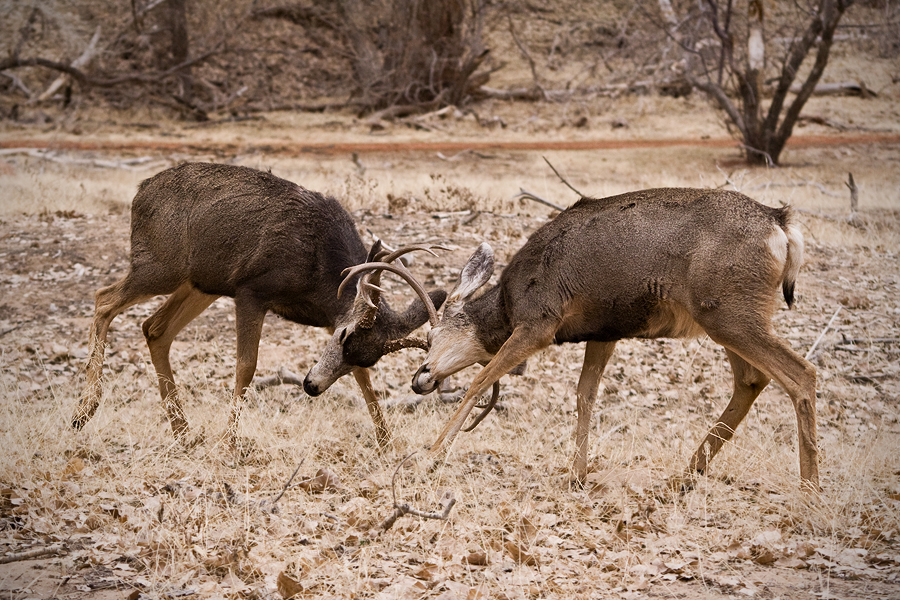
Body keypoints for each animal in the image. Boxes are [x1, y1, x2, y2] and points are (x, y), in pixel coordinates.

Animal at [74, 162, 446, 448]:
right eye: (344, 336)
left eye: (365, 352)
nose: (311, 386)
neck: (321, 272)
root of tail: (140, 192)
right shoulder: (251, 290)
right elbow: (246, 366)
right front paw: (228, 443)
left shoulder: (328, 314)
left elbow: (363, 378)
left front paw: (387, 443)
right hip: (160, 266)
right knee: (103, 299)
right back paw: (85, 410)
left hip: (200, 283)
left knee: (153, 328)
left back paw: (183, 431)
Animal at [404, 189, 820, 492]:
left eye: (432, 334)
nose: (420, 378)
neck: (508, 304)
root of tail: (780, 224)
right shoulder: (605, 331)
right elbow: (585, 394)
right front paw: (577, 474)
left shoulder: (540, 321)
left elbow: (480, 379)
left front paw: (431, 456)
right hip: (726, 317)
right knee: (751, 380)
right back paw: (686, 474)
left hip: (729, 313)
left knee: (801, 373)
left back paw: (809, 489)